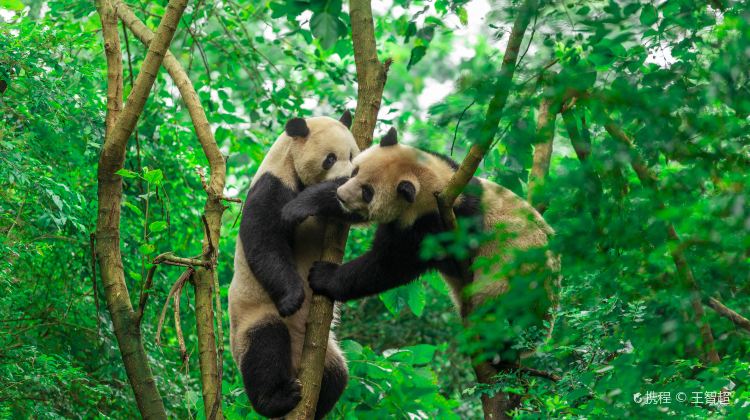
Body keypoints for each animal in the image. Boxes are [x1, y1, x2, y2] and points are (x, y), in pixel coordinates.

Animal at [228, 112, 358, 419]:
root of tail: (297, 364)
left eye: (352, 155)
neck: (287, 159)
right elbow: (265, 241)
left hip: (327, 352)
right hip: (253, 317)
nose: (349, 177)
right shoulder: (272, 185)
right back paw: (278, 398)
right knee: (265, 345)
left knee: (338, 375)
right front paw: (293, 298)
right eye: (330, 159)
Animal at [281, 127, 559, 366]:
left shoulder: (436, 227)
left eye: (368, 192)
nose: (342, 196)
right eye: (355, 171)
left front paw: (323, 275)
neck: (436, 184)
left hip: (513, 285)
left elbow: (390, 264)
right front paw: (302, 205)